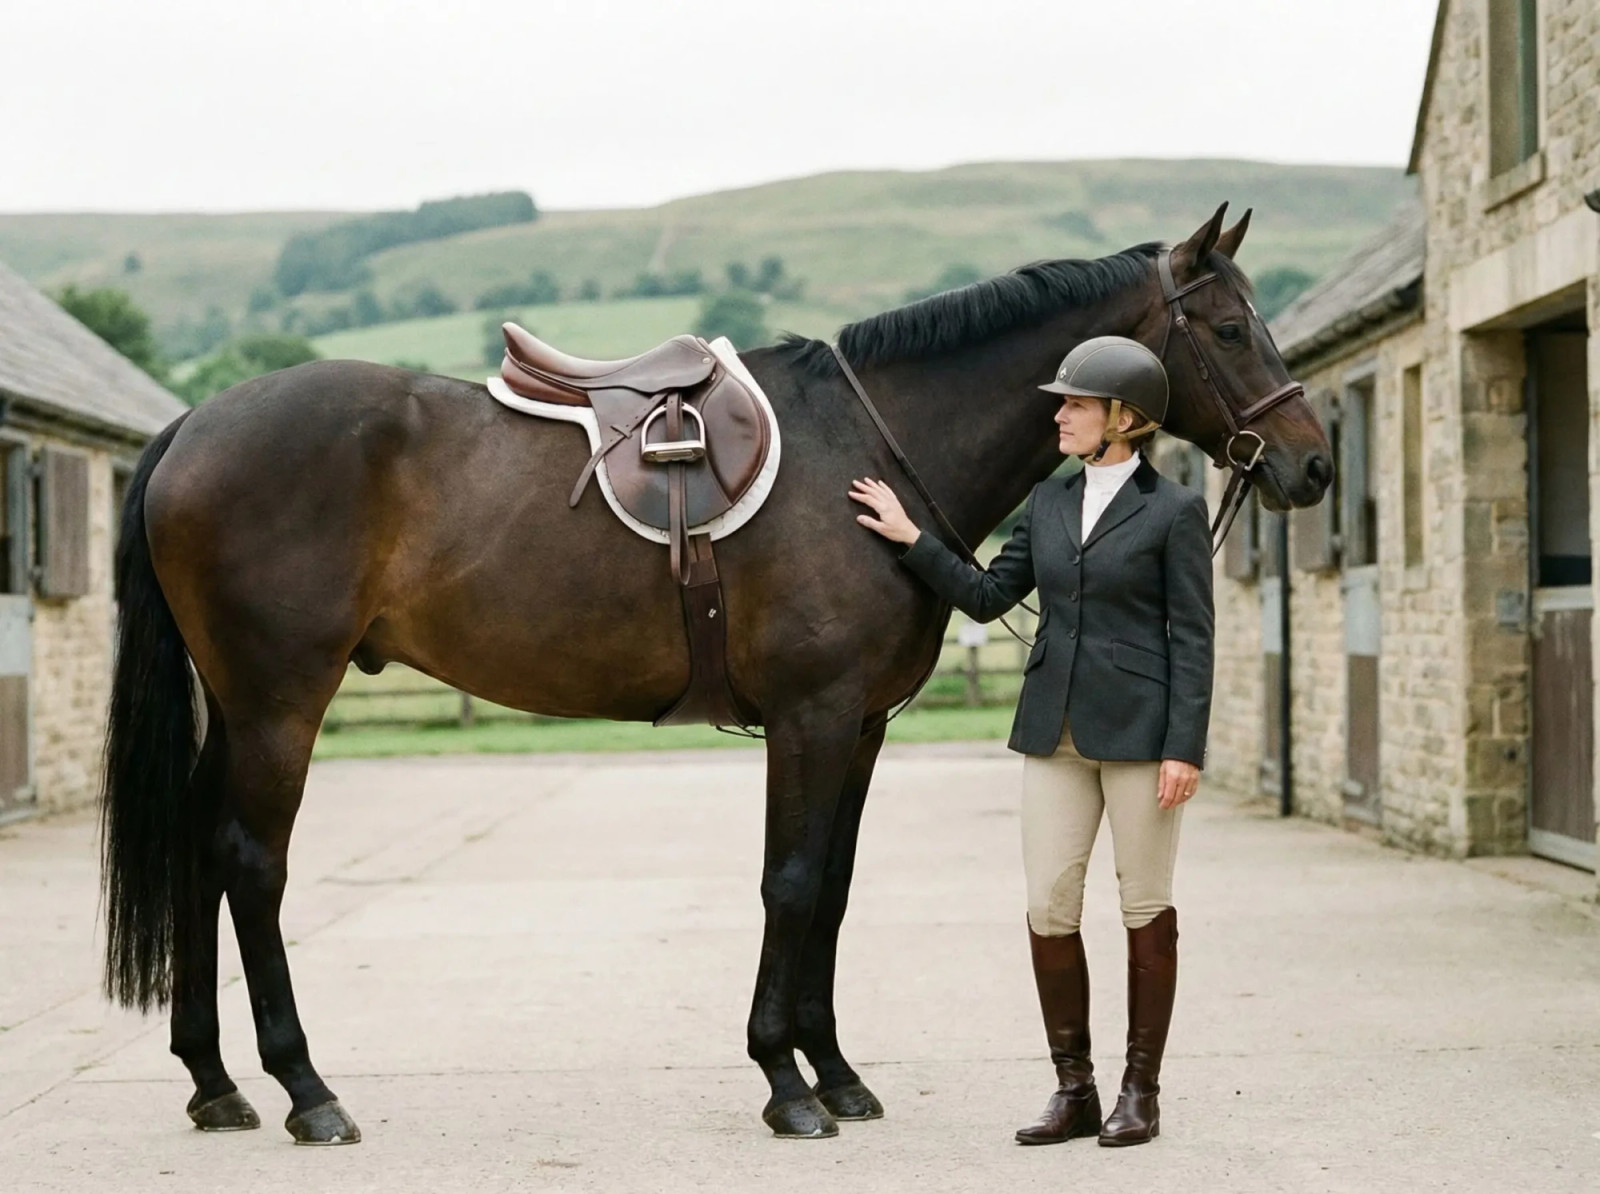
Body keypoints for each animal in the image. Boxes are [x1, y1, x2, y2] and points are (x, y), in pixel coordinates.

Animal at [100, 204, 1330, 1144]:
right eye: (1231, 328)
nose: (1314, 466)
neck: (869, 453)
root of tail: (192, 426)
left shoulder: (860, 726)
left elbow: (831, 887)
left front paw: (837, 1073)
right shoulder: (810, 717)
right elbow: (788, 883)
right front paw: (786, 1084)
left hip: (241, 708)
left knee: (199, 851)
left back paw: (215, 1084)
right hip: (279, 702)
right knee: (250, 864)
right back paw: (306, 1091)